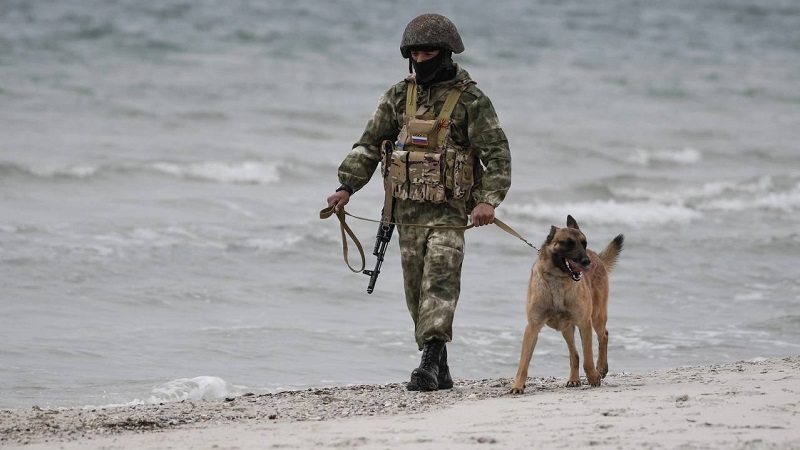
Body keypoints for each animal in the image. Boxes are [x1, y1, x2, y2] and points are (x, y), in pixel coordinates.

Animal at [510, 214, 620, 394]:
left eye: (584, 243)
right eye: (568, 243)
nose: (586, 262)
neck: (557, 279)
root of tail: (595, 255)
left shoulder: (584, 323)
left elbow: (588, 357)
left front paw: (593, 376)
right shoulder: (532, 328)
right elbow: (523, 362)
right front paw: (518, 385)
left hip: (597, 317)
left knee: (603, 335)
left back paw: (601, 368)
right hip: (566, 329)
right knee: (574, 355)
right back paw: (574, 379)